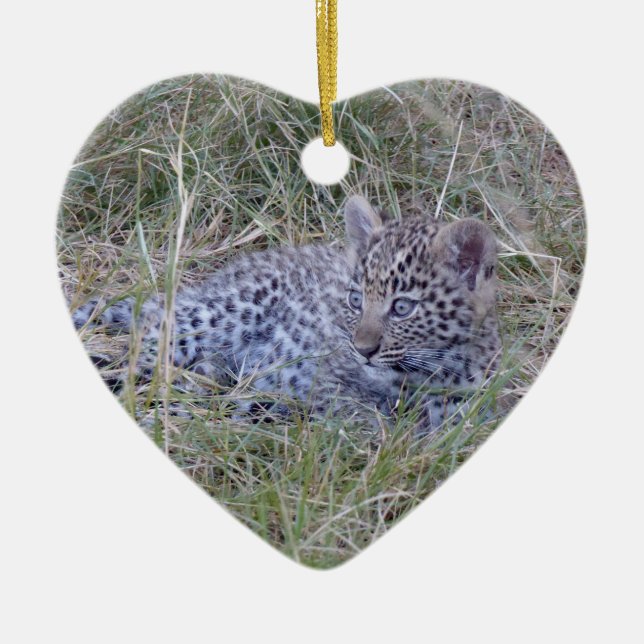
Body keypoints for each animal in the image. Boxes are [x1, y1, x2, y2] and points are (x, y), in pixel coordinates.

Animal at [71, 195, 501, 434]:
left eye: (402, 307)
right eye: (356, 300)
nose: (362, 350)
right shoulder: (326, 381)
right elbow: (365, 418)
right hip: (224, 312)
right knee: (145, 344)